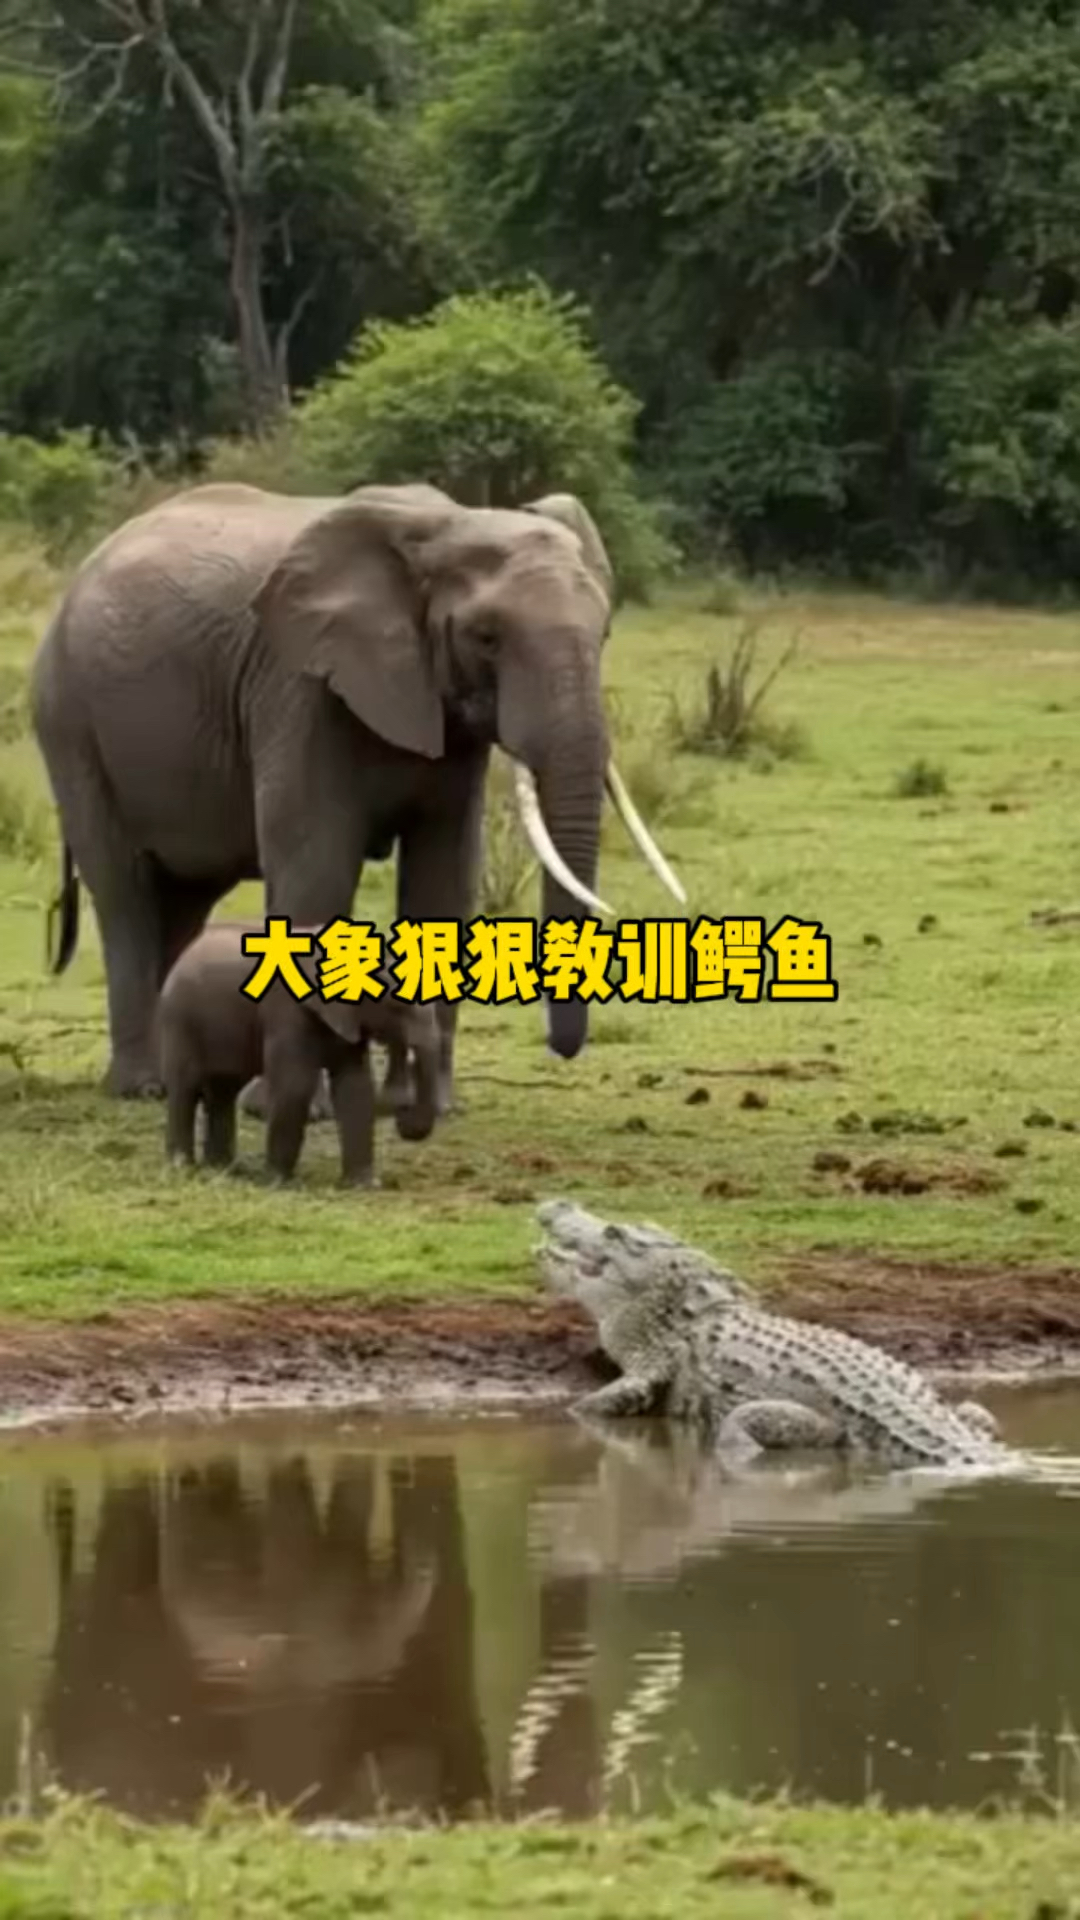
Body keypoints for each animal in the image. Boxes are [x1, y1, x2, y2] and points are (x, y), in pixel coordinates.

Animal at [30, 480, 685, 1113]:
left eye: (605, 633)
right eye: (487, 638)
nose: (562, 1049)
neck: (449, 525)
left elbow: (444, 878)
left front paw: (428, 1106)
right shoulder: (299, 686)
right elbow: (316, 866)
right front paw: (291, 1108)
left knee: (184, 898)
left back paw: (186, 1078)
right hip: (69, 719)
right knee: (124, 891)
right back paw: (143, 1088)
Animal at [157, 921, 439, 1186]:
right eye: (396, 1004)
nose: (402, 1116)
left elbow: (355, 1087)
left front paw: (364, 1185)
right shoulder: (286, 1011)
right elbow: (295, 1086)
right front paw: (278, 1183)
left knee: (223, 1092)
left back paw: (224, 1168)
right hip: (179, 1020)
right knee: (186, 1088)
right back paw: (183, 1166)